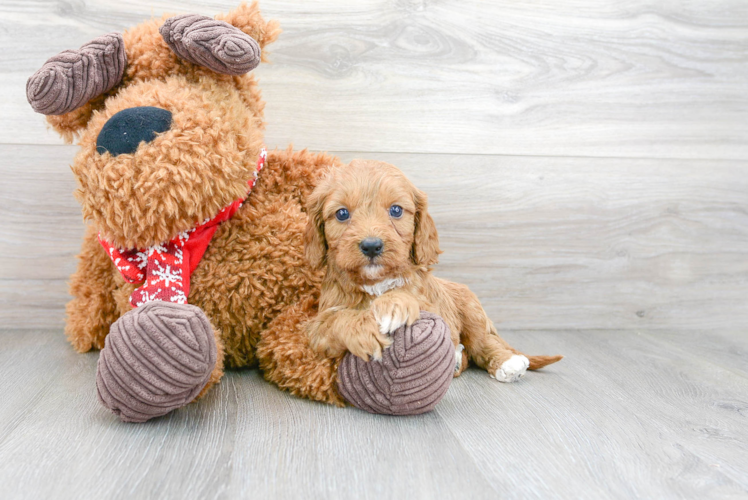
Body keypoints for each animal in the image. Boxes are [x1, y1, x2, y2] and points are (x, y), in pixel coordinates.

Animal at [304, 160, 560, 382]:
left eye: (396, 210)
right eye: (342, 214)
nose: (371, 245)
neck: (375, 283)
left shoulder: (432, 306)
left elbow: (407, 294)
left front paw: (392, 305)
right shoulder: (316, 328)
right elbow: (333, 320)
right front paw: (365, 329)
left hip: (472, 311)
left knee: (482, 342)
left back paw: (507, 363)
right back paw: (457, 359)